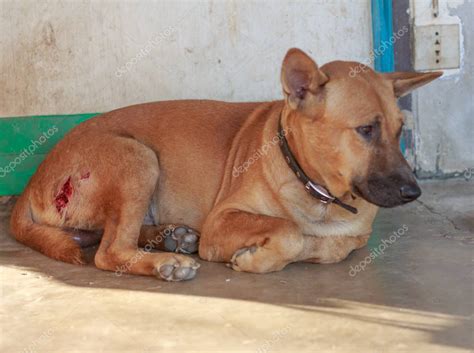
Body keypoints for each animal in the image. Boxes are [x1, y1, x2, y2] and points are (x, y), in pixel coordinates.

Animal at [10, 48, 440, 280]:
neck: (314, 190)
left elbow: (335, 246)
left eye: (400, 130)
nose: (413, 192)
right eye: (366, 129)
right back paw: (167, 261)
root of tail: (34, 179)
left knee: (108, 236)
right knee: (110, 250)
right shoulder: (222, 220)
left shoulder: (353, 235)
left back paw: (173, 236)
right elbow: (288, 231)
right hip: (139, 157)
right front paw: (260, 255)